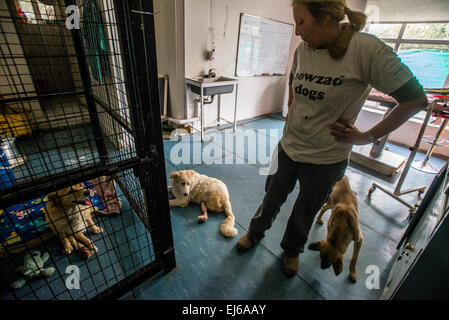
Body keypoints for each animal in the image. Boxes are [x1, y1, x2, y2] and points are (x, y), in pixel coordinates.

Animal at [0, 0, 173, 300]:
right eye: (71, 189)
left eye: (79, 187)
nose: (86, 193)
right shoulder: (66, 225)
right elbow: (72, 236)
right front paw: (77, 245)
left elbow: (83, 232)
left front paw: (88, 239)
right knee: (69, 233)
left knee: (89, 221)